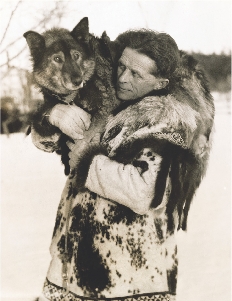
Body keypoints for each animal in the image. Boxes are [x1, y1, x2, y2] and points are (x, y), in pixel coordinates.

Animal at [24, 17, 119, 175]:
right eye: (57, 59)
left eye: (76, 56)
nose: (77, 81)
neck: (72, 96)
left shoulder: (105, 109)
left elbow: (84, 139)